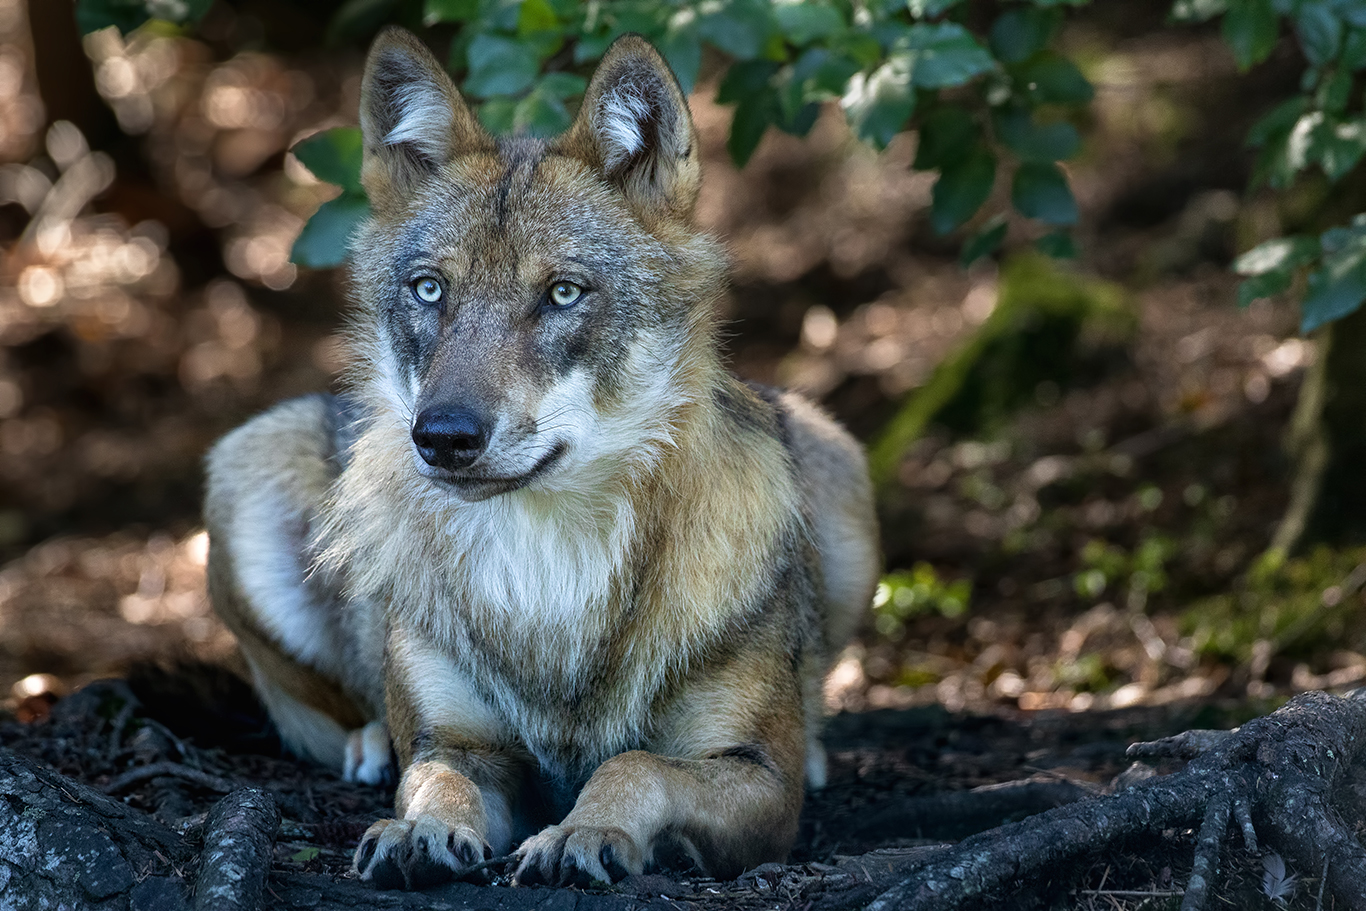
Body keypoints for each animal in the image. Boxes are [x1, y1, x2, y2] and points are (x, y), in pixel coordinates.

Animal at [204, 26, 880, 889]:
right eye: (430, 290)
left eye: (562, 293)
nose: (443, 435)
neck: (548, 567)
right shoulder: (470, 746)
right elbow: (437, 775)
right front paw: (417, 827)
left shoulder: (762, 783)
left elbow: (633, 764)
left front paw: (581, 832)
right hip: (247, 462)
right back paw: (371, 742)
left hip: (841, 467)